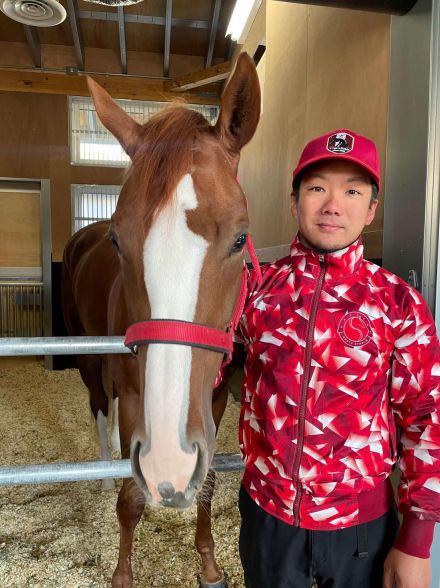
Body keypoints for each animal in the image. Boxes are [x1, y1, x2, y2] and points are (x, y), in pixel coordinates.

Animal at [62, 52, 262, 584]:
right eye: (118, 240)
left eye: (240, 238)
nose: (170, 462)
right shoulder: (137, 400)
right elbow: (131, 498)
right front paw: (122, 575)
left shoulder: (212, 401)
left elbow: (207, 481)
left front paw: (209, 565)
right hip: (88, 359)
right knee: (100, 411)